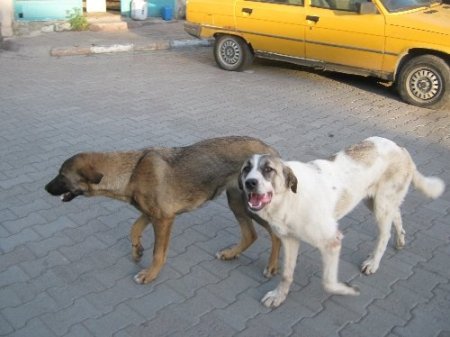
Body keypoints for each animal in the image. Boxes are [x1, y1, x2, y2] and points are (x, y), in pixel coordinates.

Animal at [44, 136, 280, 284]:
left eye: (62, 176)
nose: (45, 188)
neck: (132, 172)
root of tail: (271, 152)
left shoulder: (164, 219)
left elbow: (158, 253)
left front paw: (150, 274)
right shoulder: (151, 214)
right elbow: (134, 229)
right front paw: (137, 250)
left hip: (254, 207)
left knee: (276, 235)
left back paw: (271, 267)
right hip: (237, 203)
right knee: (250, 235)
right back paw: (231, 253)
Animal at [241, 136, 444, 308]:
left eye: (268, 170)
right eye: (245, 169)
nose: (249, 183)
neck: (290, 199)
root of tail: (400, 148)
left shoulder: (332, 242)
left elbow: (328, 283)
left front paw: (347, 290)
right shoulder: (290, 240)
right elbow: (286, 274)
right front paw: (279, 296)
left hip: (381, 205)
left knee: (384, 234)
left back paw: (373, 262)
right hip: (374, 201)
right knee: (397, 213)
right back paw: (400, 239)